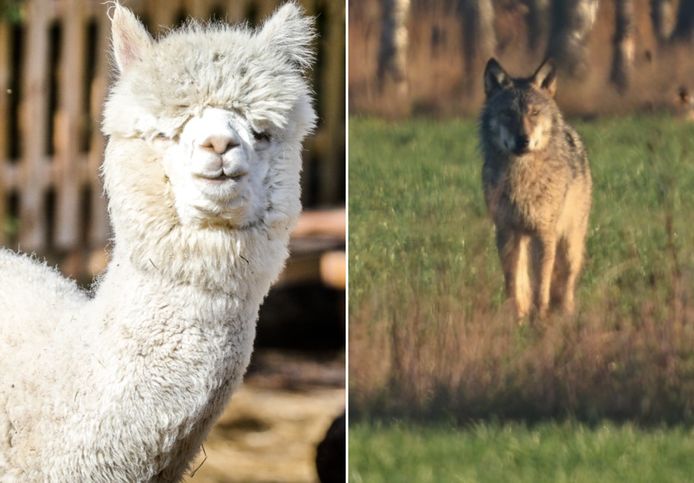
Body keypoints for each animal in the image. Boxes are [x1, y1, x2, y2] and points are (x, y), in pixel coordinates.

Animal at [484, 58, 592, 320]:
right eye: (508, 113)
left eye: (534, 113)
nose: (522, 140)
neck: (521, 179)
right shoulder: (506, 231)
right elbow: (513, 280)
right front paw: (517, 316)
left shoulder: (543, 232)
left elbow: (541, 282)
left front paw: (540, 316)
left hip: (569, 243)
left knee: (566, 282)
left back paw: (566, 313)